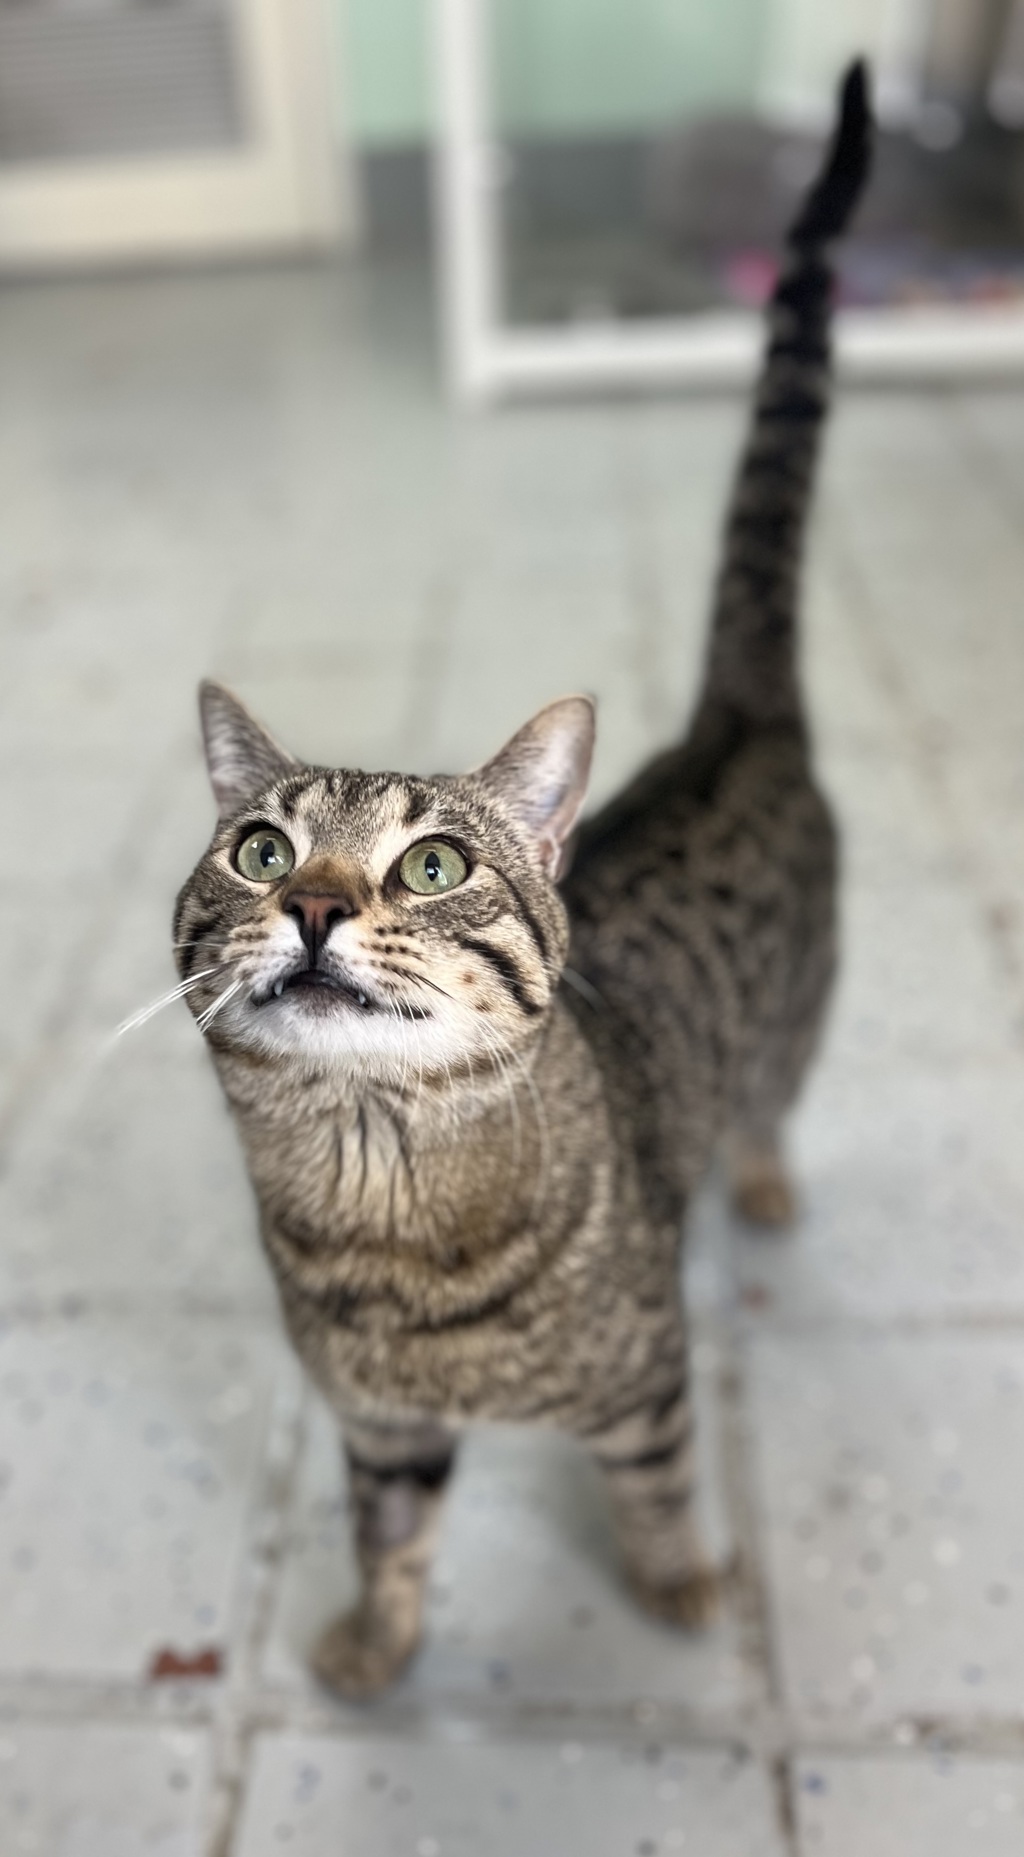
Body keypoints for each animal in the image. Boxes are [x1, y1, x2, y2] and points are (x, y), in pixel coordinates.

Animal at [173, 64, 872, 1698]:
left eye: (432, 862)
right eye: (260, 849)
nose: (314, 904)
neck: (379, 1213)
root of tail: (738, 721)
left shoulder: (648, 1382)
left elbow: (662, 1490)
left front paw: (679, 1587)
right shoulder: (378, 1425)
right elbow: (388, 1530)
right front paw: (376, 1643)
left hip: (801, 1016)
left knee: (773, 1096)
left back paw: (762, 1179)